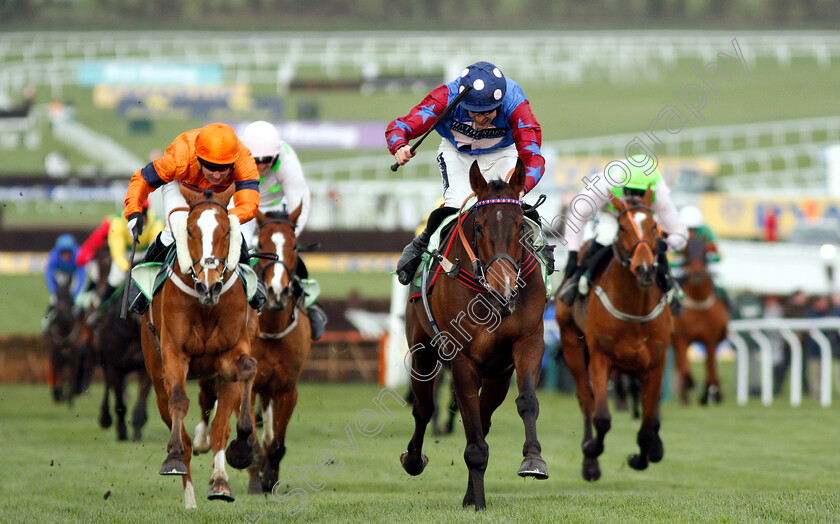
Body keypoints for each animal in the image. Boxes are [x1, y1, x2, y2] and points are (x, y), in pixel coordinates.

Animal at [140, 185, 256, 508]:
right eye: (190, 231)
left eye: (227, 231)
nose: (209, 285)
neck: (204, 306)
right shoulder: (173, 354)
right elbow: (179, 400)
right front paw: (173, 459)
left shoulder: (229, 353)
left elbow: (247, 368)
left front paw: (240, 448)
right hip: (156, 379)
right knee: (182, 431)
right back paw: (189, 499)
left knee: (219, 426)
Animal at [402, 161, 552, 512]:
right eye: (480, 227)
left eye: (519, 227)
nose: (504, 289)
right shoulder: (461, 358)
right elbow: (469, 432)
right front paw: (480, 502)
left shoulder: (528, 343)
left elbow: (526, 402)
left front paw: (533, 460)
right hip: (422, 352)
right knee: (424, 408)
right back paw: (414, 460)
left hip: (497, 374)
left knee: (483, 418)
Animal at [556, 189, 672, 484]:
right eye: (622, 227)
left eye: (653, 226)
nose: (645, 269)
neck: (634, 307)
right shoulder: (601, 357)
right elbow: (602, 418)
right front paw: (591, 451)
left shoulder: (655, 364)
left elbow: (648, 424)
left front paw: (642, 457)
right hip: (572, 343)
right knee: (585, 398)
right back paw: (589, 462)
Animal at [668, 230, 728, 406]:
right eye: (687, 252)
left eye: (704, 251)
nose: (696, 273)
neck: (699, 303)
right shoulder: (681, 338)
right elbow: (685, 369)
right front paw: (690, 386)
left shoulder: (711, 339)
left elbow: (711, 369)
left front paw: (710, 394)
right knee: (680, 366)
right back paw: (685, 395)